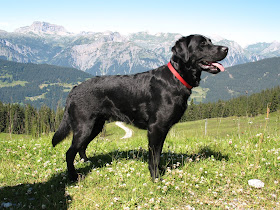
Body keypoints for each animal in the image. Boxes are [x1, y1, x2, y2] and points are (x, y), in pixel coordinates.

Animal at [52, 34, 228, 180]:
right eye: (202, 44)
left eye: (211, 41)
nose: (226, 48)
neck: (176, 78)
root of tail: (74, 89)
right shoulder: (156, 128)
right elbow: (154, 157)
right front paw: (156, 178)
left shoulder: (162, 130)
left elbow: (158, 154)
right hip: (84, 126)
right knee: (69, 152)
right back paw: (74, 176)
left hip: (95, 126)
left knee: (81, 147)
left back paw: (87, 162)